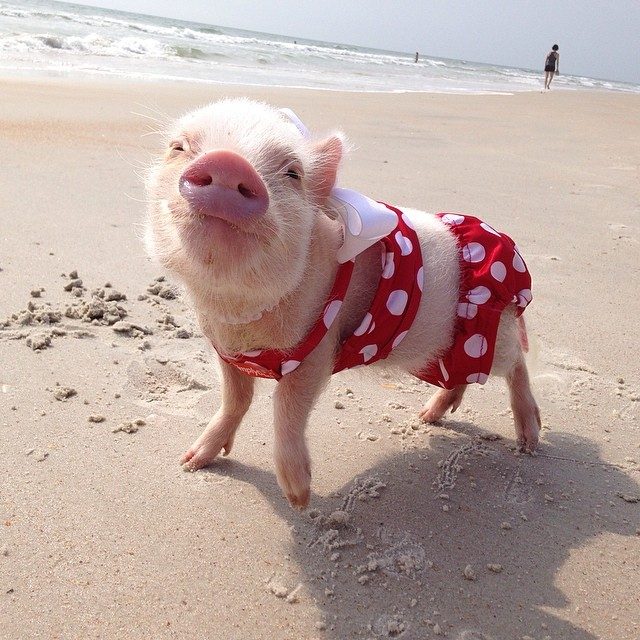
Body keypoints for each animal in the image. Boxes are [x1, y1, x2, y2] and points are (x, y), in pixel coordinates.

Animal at [144, 98, 541, 508]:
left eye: (293, 173)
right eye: (178, 147)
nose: (227, 162)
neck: (240, 313)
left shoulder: (319, 346)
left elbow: (287, 404)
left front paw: (299, 500)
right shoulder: (226, 352)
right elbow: (235, 398)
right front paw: (190, 463)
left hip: (487, 330)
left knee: (516, 363)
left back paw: (528, 442)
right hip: (439, 352)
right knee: (462, 377)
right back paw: (427, 417)